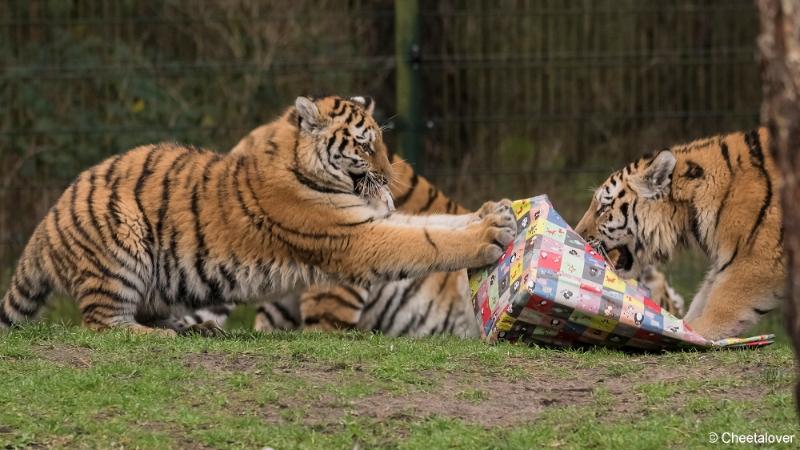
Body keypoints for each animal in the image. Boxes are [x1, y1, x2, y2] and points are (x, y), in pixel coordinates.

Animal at [0, 96, 516, 334]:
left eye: (383, 143)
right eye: (366, 144)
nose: (389, 177)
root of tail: (46, 224)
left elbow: (431, 226)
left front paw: (495, 214)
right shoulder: (352, 237)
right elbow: (426, 241)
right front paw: (489, 234)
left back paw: (192, 330)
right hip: (121, 244)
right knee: (103, 325)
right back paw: (161, 337)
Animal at [576, 128, 780, 340]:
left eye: (603, 208)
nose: (577, 234)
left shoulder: (754, 263)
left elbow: (717, 313)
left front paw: (691, 336)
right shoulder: (726, 263)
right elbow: (701, 301)